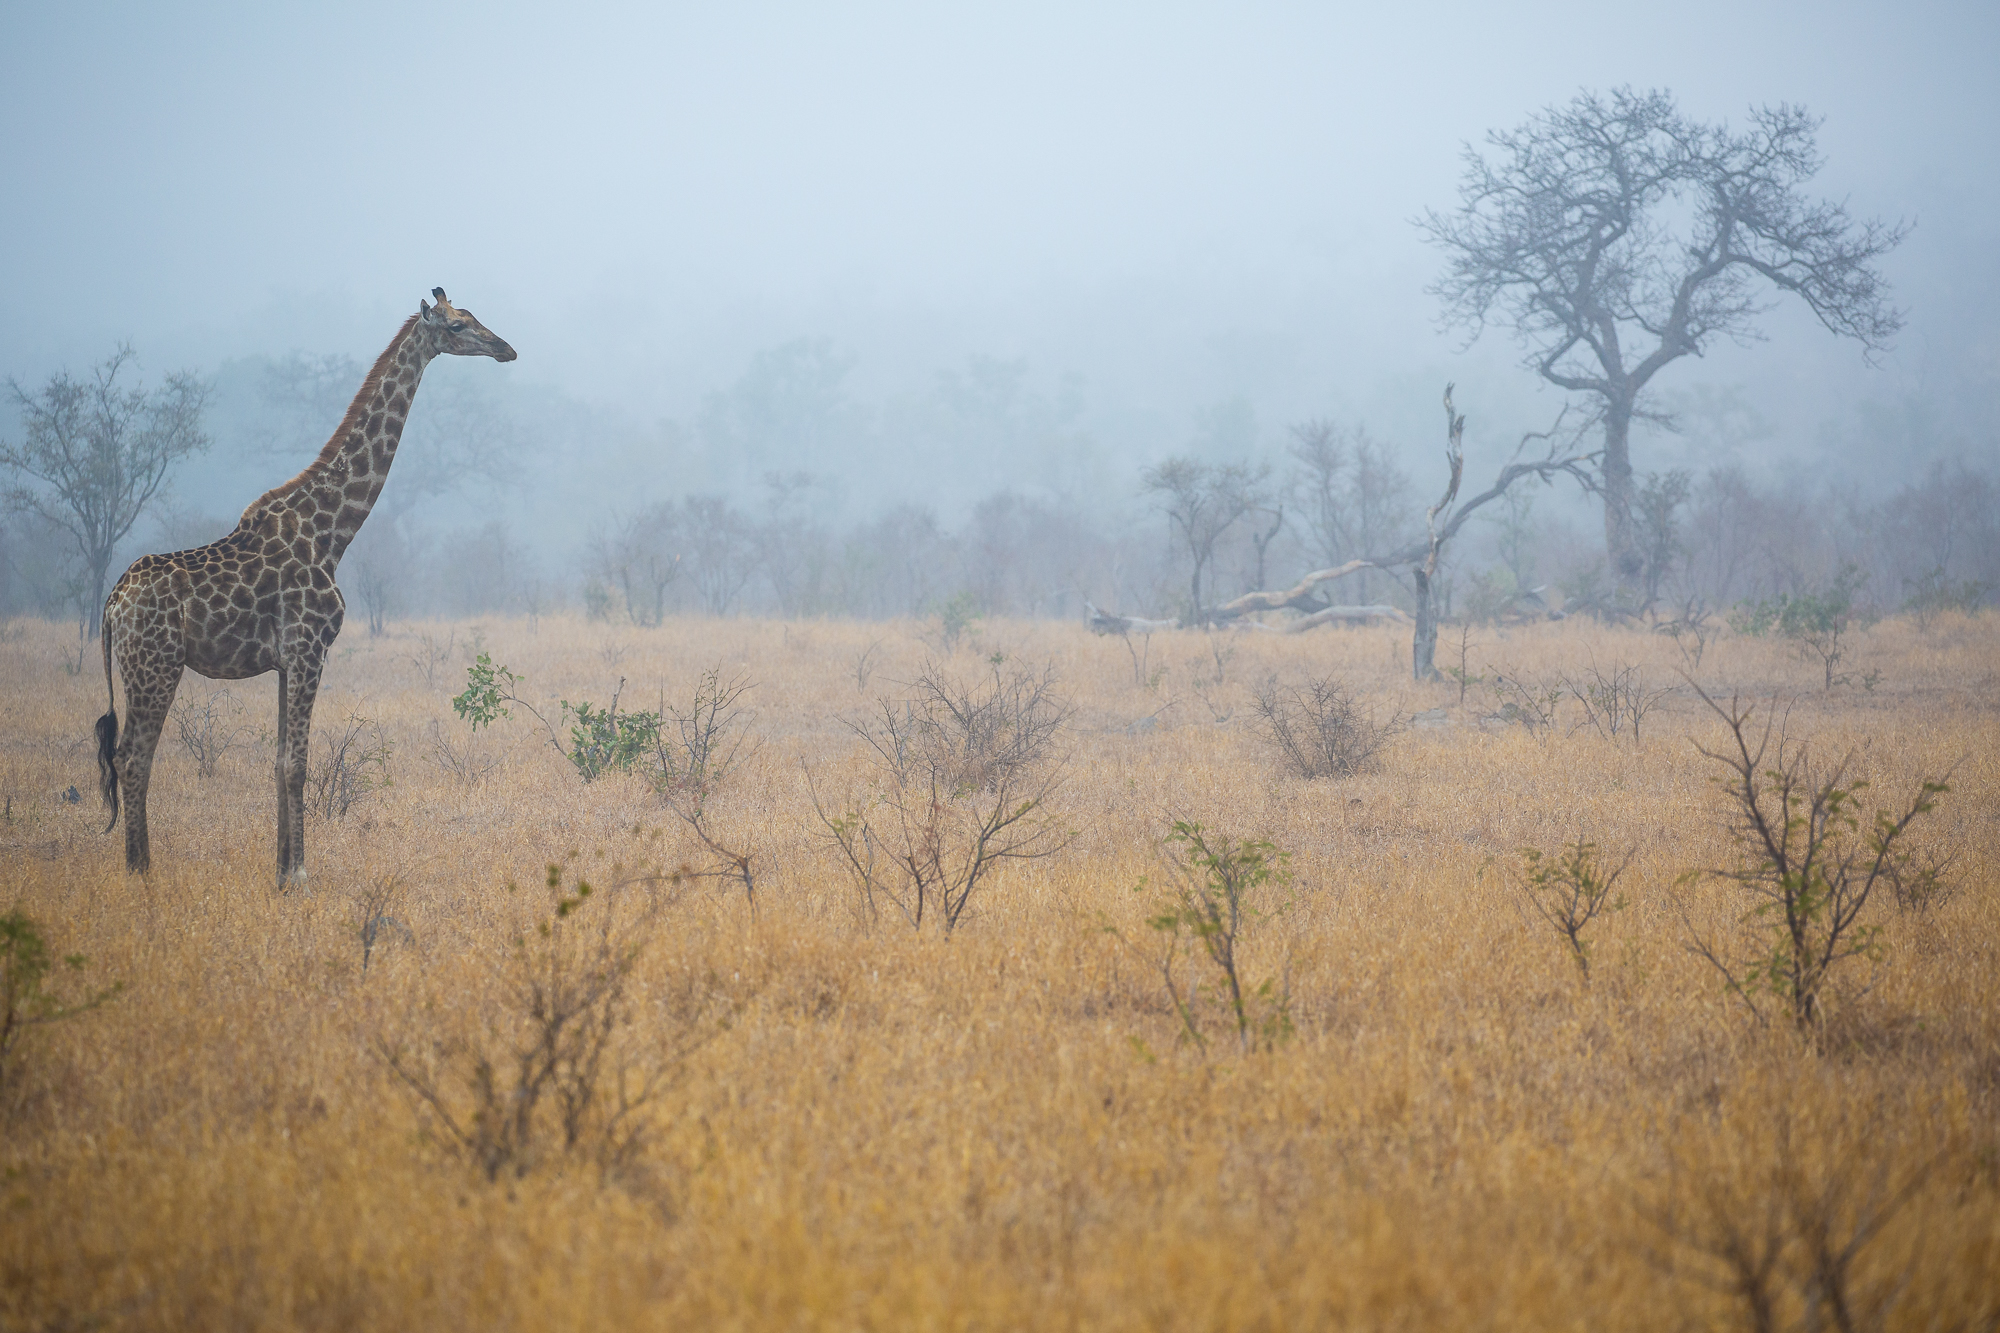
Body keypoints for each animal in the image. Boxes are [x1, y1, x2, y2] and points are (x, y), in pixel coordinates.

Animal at [96, 288, 516, 884]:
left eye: (475, 315)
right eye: (457, 326)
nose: (507, 349)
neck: (333, 532)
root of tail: (112, 604)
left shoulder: (284, 660)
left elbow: (278, 762)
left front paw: (280, 872)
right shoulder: (310, 647)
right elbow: (297, 763)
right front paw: (299, 875)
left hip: (143, 668)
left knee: (126, 756)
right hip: (155, 665)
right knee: (133, 757)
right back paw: (141, 872)